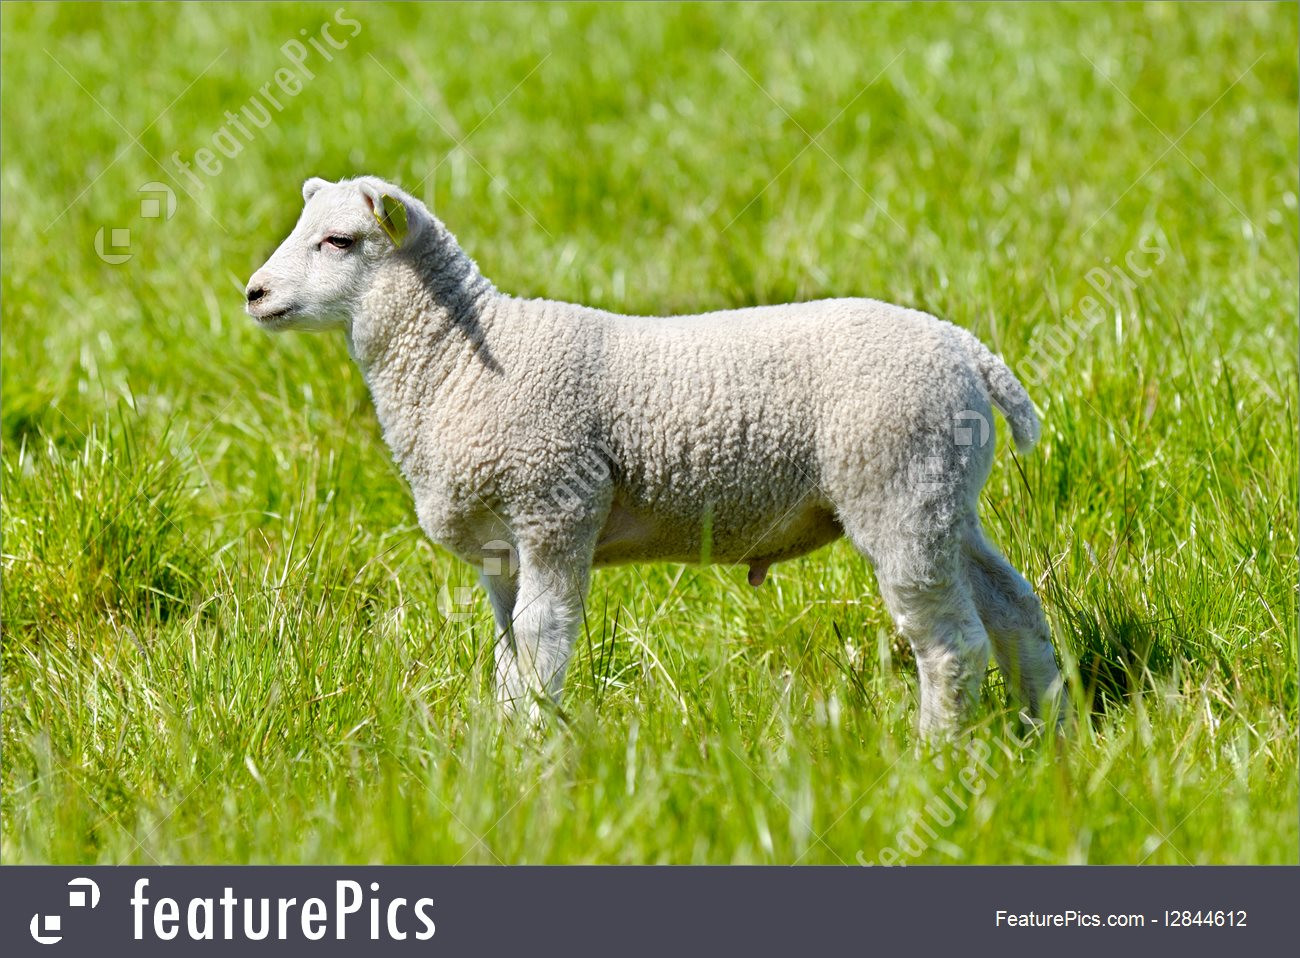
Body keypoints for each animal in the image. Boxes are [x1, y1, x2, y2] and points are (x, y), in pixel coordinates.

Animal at [245, 175, 1066, 738]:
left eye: (340, 240)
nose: (252, 293)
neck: (463, 359)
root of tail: (965, 349)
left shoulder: (555, 510)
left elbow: (543, 644)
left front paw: (536, 748)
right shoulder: (501, 552)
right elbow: (509, 657)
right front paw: (507, 743)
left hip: (899, 486)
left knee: (953, 643)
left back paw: (935, 754)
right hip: (945, 493)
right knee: (1015, 607)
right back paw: (1050, 732)